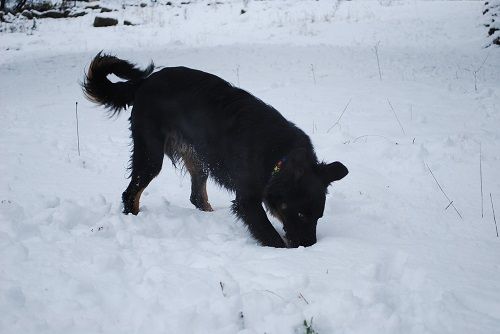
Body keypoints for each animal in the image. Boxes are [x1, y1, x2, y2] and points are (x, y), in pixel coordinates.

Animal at [83, 53, 348, 248]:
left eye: (319, 216)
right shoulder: (247, 199)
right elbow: (270, 235)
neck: (279, 155)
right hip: (151, 154)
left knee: (197, 197)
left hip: (198, 158)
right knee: (130, 194)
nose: (309, 246)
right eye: (301, 215)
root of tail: (143, 82)